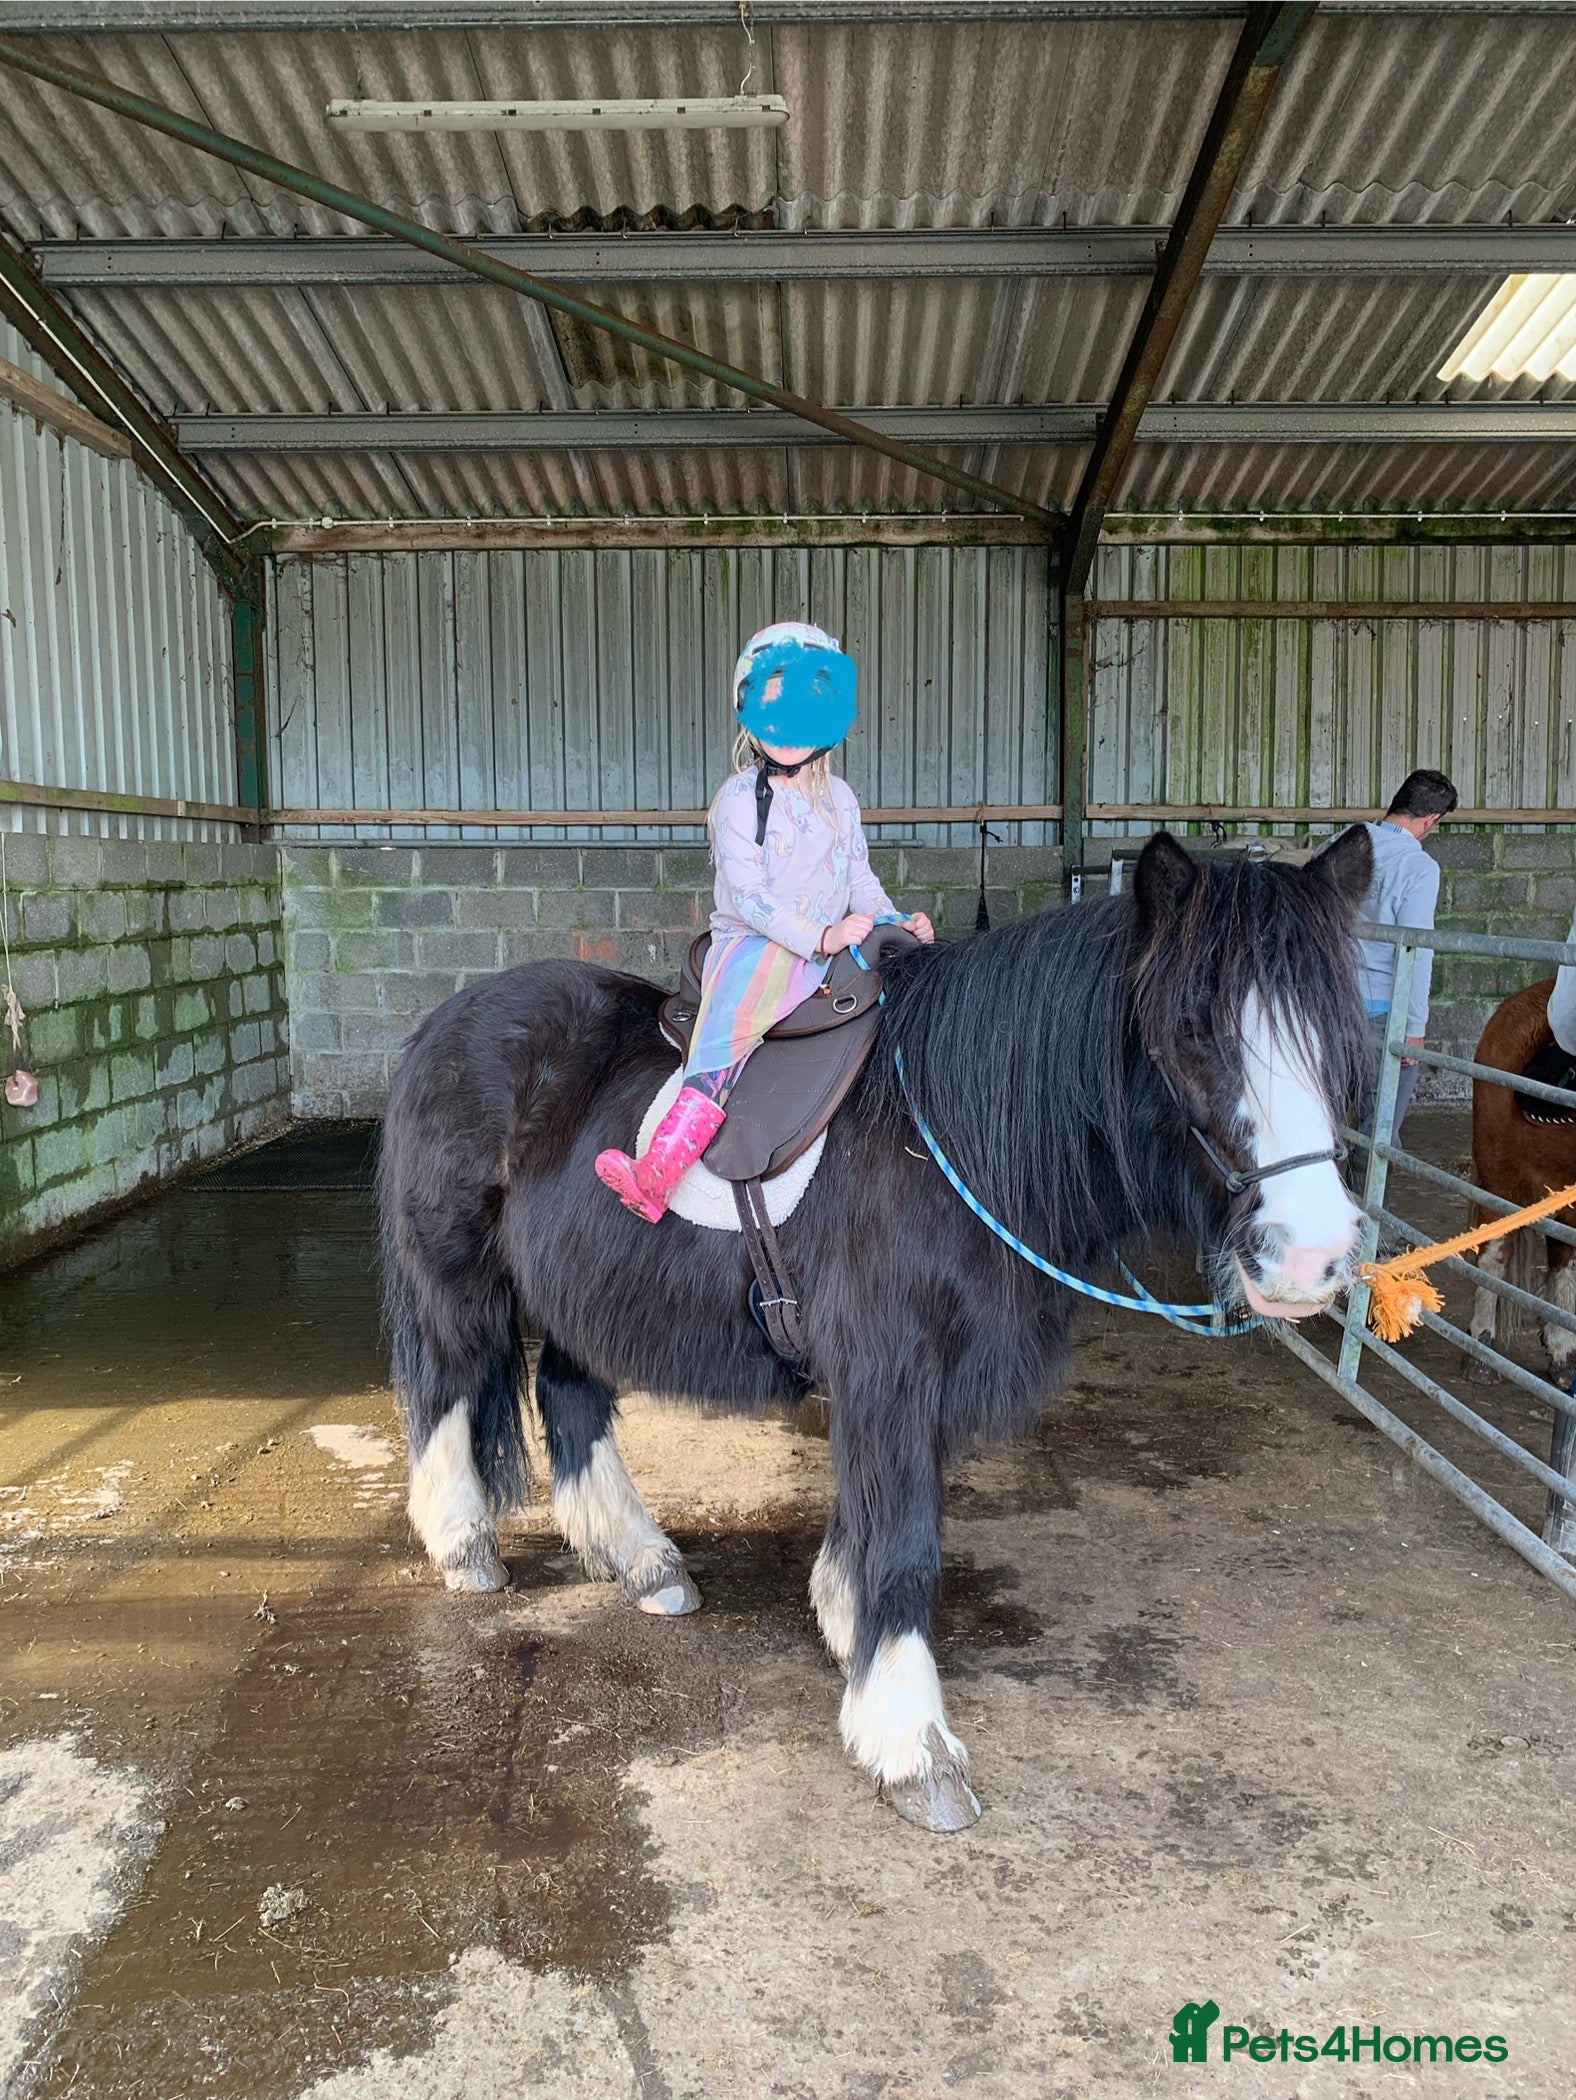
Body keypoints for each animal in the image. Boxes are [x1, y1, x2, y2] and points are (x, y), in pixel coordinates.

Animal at [377, 827, 1373, 1832]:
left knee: (569, 1396)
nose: (1313, 1253)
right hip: (460, 1282)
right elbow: (903, 1544)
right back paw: (465, 1546)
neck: (952, 1135)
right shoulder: (889, 1369)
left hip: (592, 1285)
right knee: (450, 1391)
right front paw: (910, 1741)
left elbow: (869, 1518)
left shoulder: (907, 1381)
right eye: (1195, 1027)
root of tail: (443, 1023)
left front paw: (843, 1623)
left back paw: (642, 1562)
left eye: (1337, 1032)